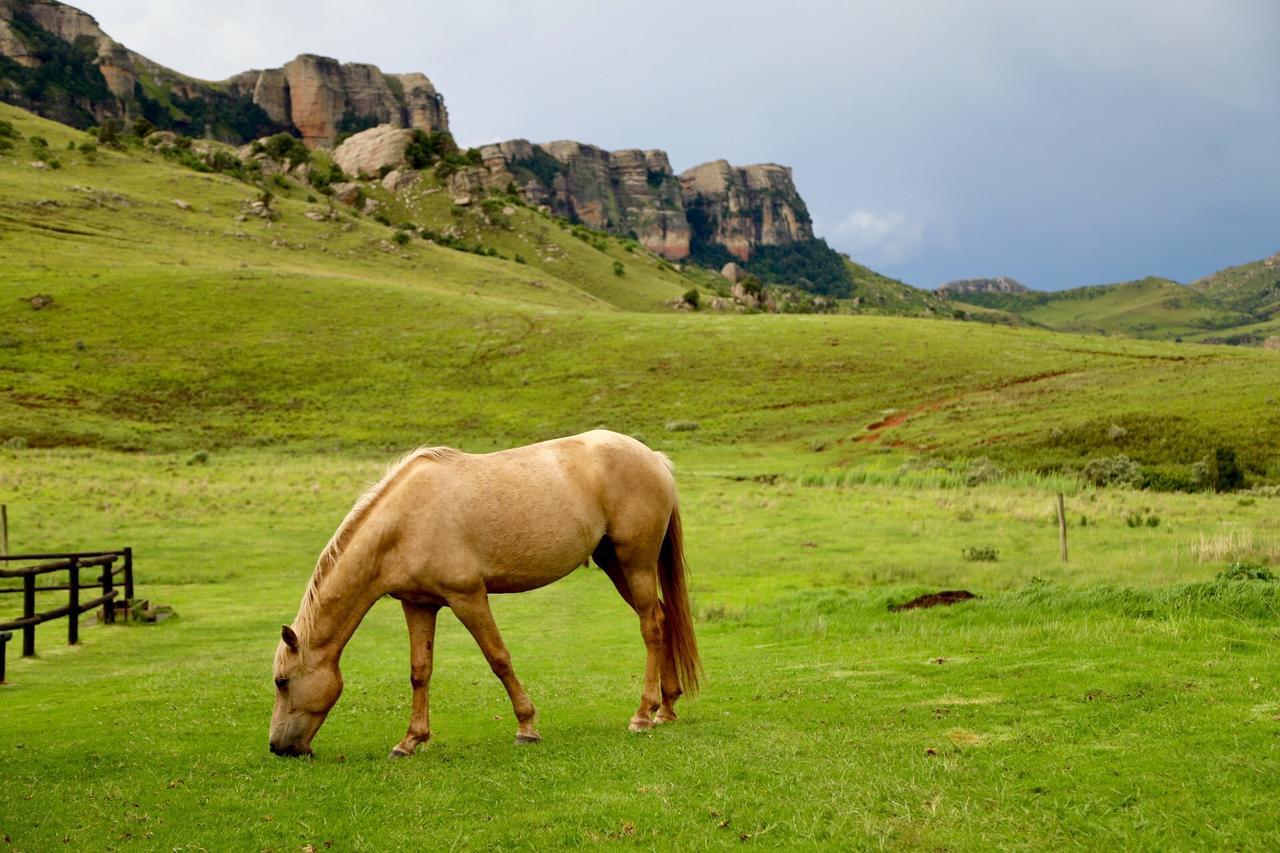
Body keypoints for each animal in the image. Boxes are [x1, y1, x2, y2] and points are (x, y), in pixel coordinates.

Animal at [267, 427, 701, 753]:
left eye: (281, 682)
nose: (277, 747)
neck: (403, 522)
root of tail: (653, 458)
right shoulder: (418, 605)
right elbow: (419, 671)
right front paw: (411, 740)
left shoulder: (468, 597)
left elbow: (499, 659)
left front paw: (527, 727)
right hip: (615, 564)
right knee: (662, 618)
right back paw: (666, 707)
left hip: (635, 562)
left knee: (651, 626)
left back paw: (643, 714)